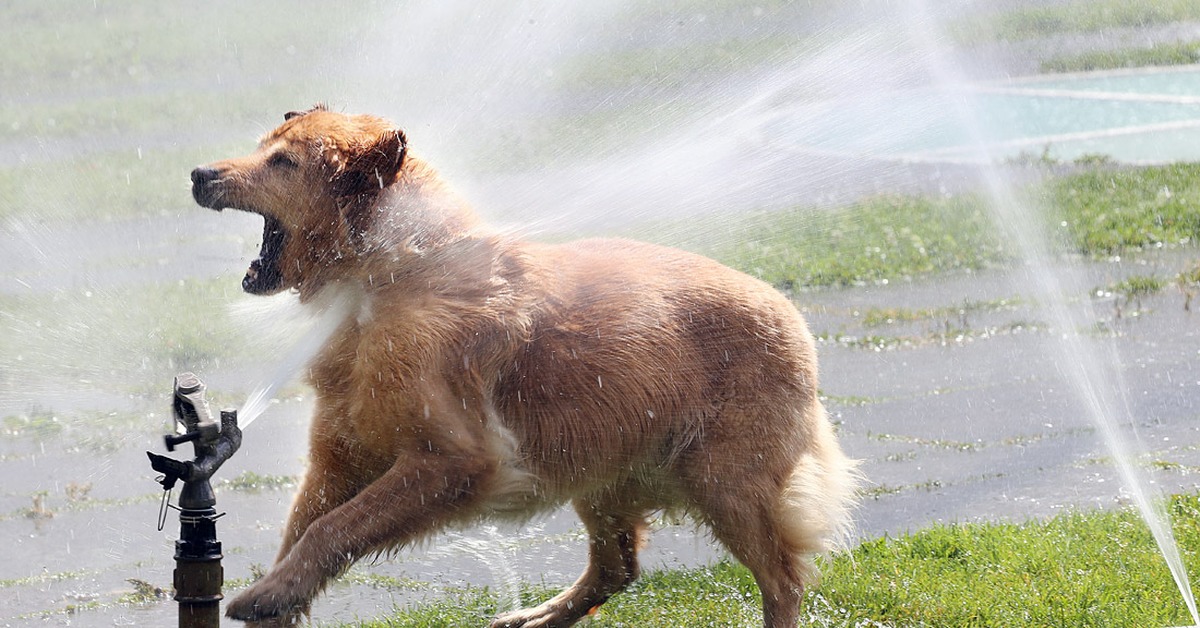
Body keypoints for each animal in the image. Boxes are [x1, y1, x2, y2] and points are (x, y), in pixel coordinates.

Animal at [192, 105, 859, 624]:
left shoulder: (457, 457)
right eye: (262, 145)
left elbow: (335, 528)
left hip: (725, 474)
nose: (199, 172)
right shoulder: (342, 448)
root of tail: (790, 311)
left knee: (781, 577)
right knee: (616, 567)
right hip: (607, 459)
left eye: (284, 163)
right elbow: (306, 526)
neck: (388, 277)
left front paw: (267, 595)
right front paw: (276, 594)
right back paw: (530, 616)